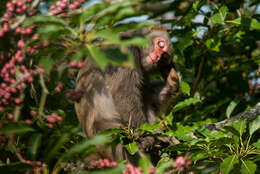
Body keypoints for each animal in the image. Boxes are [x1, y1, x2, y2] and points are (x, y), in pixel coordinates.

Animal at [74, 26, 180, 163]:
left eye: (164, 57)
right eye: (161, 45)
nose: (157, 57)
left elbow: (146, 99)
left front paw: (172, 83)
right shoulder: (125, 53)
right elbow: (124, 96)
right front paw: (147, 138)